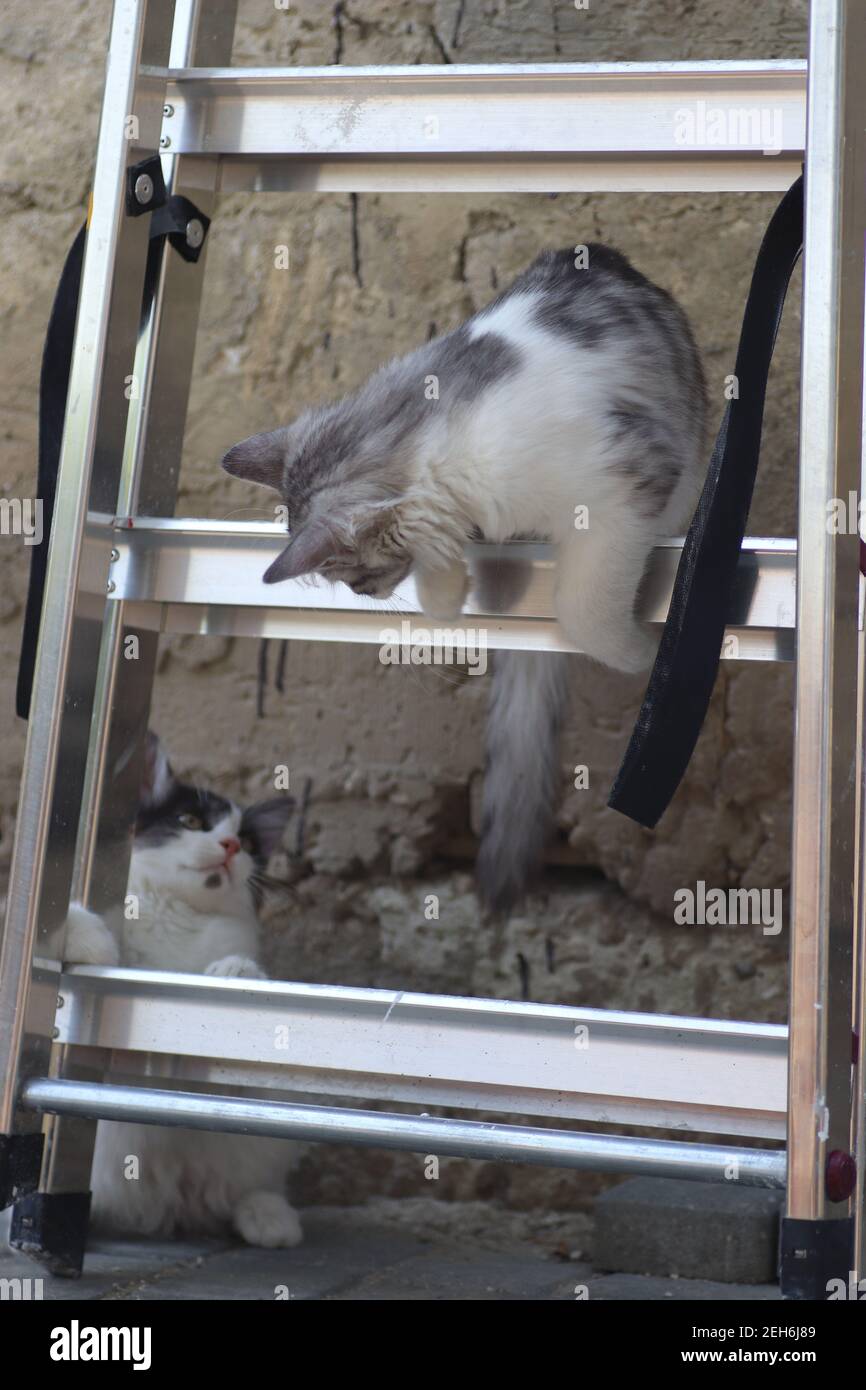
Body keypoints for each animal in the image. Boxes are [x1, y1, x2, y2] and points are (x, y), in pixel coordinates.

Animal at [64, 739, 303, 1251]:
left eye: (247, 842)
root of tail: (168, 1208)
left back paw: (270, 1218)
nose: (231, 846)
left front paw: (236, 973)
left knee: (253, 1183)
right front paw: (83, 936)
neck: (180, 914)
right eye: (191, 821)